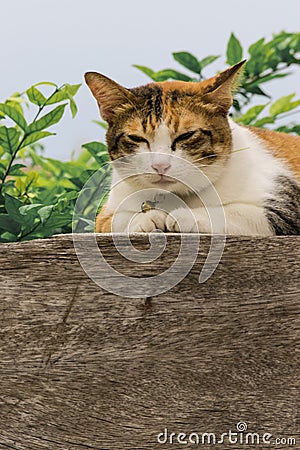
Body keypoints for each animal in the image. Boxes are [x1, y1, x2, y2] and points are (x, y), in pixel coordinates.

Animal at [84, 62, 300, 237]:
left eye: (186, 136)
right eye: (137, 138)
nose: (160, 165)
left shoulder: (287, 206)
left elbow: (236, 211)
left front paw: (184, 215)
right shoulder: (105, 215)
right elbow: (114, 219)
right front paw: (144, 217)